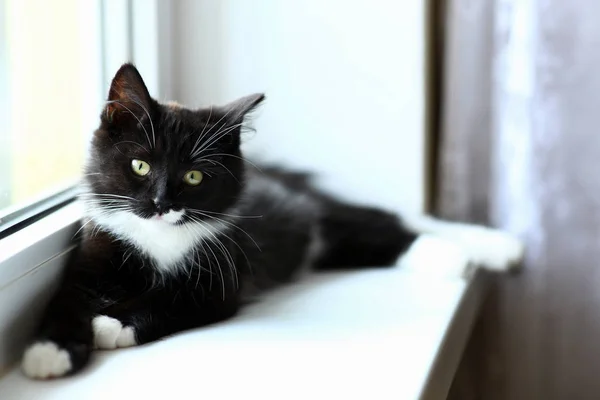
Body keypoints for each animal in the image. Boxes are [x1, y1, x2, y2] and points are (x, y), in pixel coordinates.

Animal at [19, 63, 524, 378]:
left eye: (194, 176)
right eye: (140, 166)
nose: (162, 203)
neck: (159, 239)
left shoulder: (219, 278)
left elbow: (169, 301)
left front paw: (109, 325)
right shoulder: (95, 252)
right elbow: (66, 299)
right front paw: (50, 351)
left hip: (313, 217)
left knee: (381, 221)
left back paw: (470, 250)